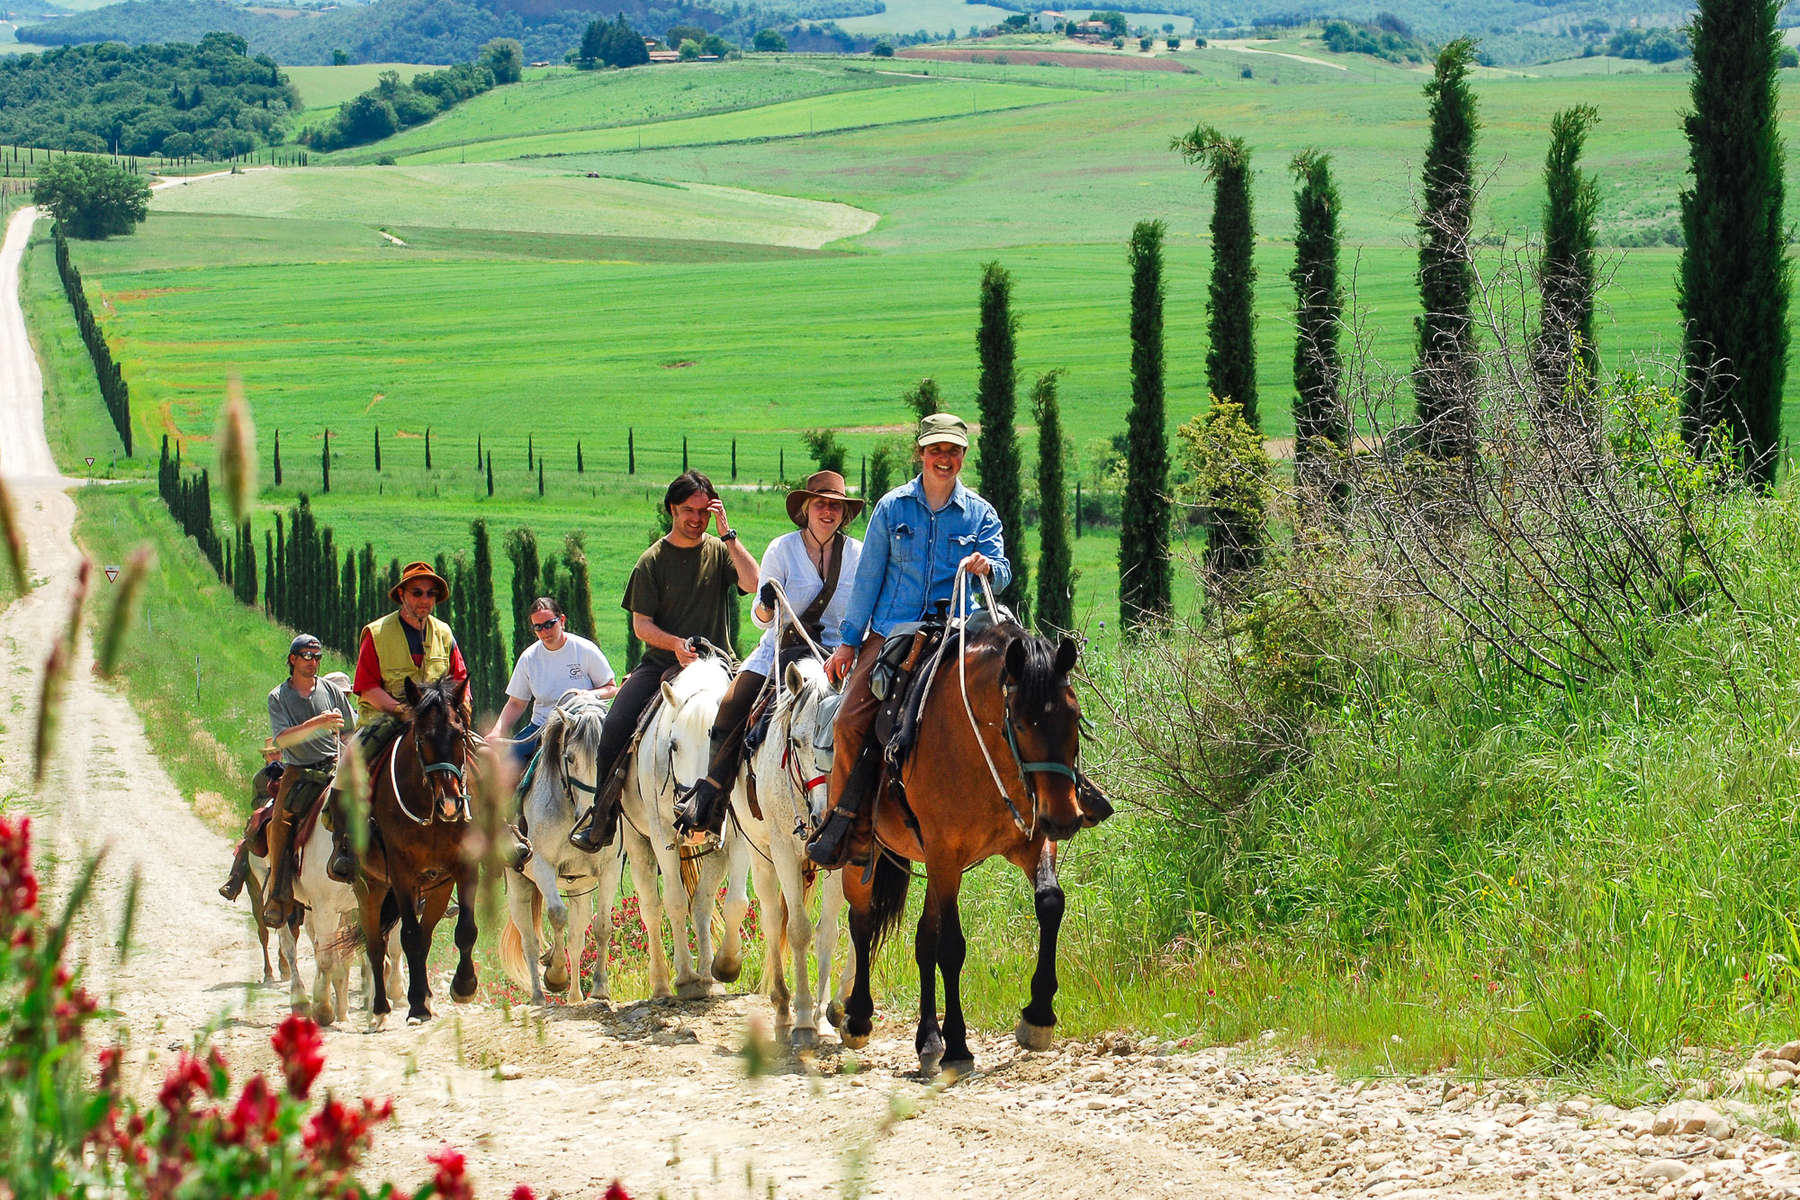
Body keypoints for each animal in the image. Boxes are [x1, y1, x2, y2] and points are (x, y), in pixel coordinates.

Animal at [351, 680, 475, 1029]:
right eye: (422, 738)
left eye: (460, 735)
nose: (450, 805)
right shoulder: (401, 874)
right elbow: (408, 935)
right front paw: (417, 1004)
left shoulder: (463, 867)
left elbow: (465, 930)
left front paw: (464, 986)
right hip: (370, 887)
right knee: (376, 945)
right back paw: (380, 1008)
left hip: (437, 888)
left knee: (426, 937)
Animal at [500, 694, 626, 1007]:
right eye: (570, 758)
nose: (591, 818)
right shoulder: (543, 865)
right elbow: (556, 915)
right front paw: (555, 974)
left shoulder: (609, 869)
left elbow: (602, 926)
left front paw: (600, 989)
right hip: (519, 884)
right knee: (529, 941)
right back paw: (538, 995)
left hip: (578, 888)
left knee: (577, 938)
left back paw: (575, 997)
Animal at [619, 651, 752, 1000]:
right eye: (673, 745)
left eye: (719, 741)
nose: (690, 814)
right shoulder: (662, 835)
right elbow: (675, 902)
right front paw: (685, 978)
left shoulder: (737, 840)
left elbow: (735, 903)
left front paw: (725, 966)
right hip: (638, 843)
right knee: (651, 908)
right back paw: (663, 983)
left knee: (703, 903)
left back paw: (708, 977)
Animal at [727, 651, 846, 1043]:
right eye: (796, 741)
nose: (823, 813)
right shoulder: (782, 852)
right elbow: (797, 931)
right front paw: (805, 1019)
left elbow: (827, 933)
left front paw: (824, 1018)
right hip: (761, 857)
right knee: (771, 918)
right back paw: (782, 1010)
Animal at [838, 626, 1080, 1072]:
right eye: (1022, 724)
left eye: (1073, 717)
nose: (1064, 818)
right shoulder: (944, 854)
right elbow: (951, 946)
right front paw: (958, 1045)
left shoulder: (1030, 840)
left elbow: (1051, 902)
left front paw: (1038, 1015)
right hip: (865, 855)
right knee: (861, 921)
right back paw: (859, 1017)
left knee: (922, 939)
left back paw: (927, 1039)